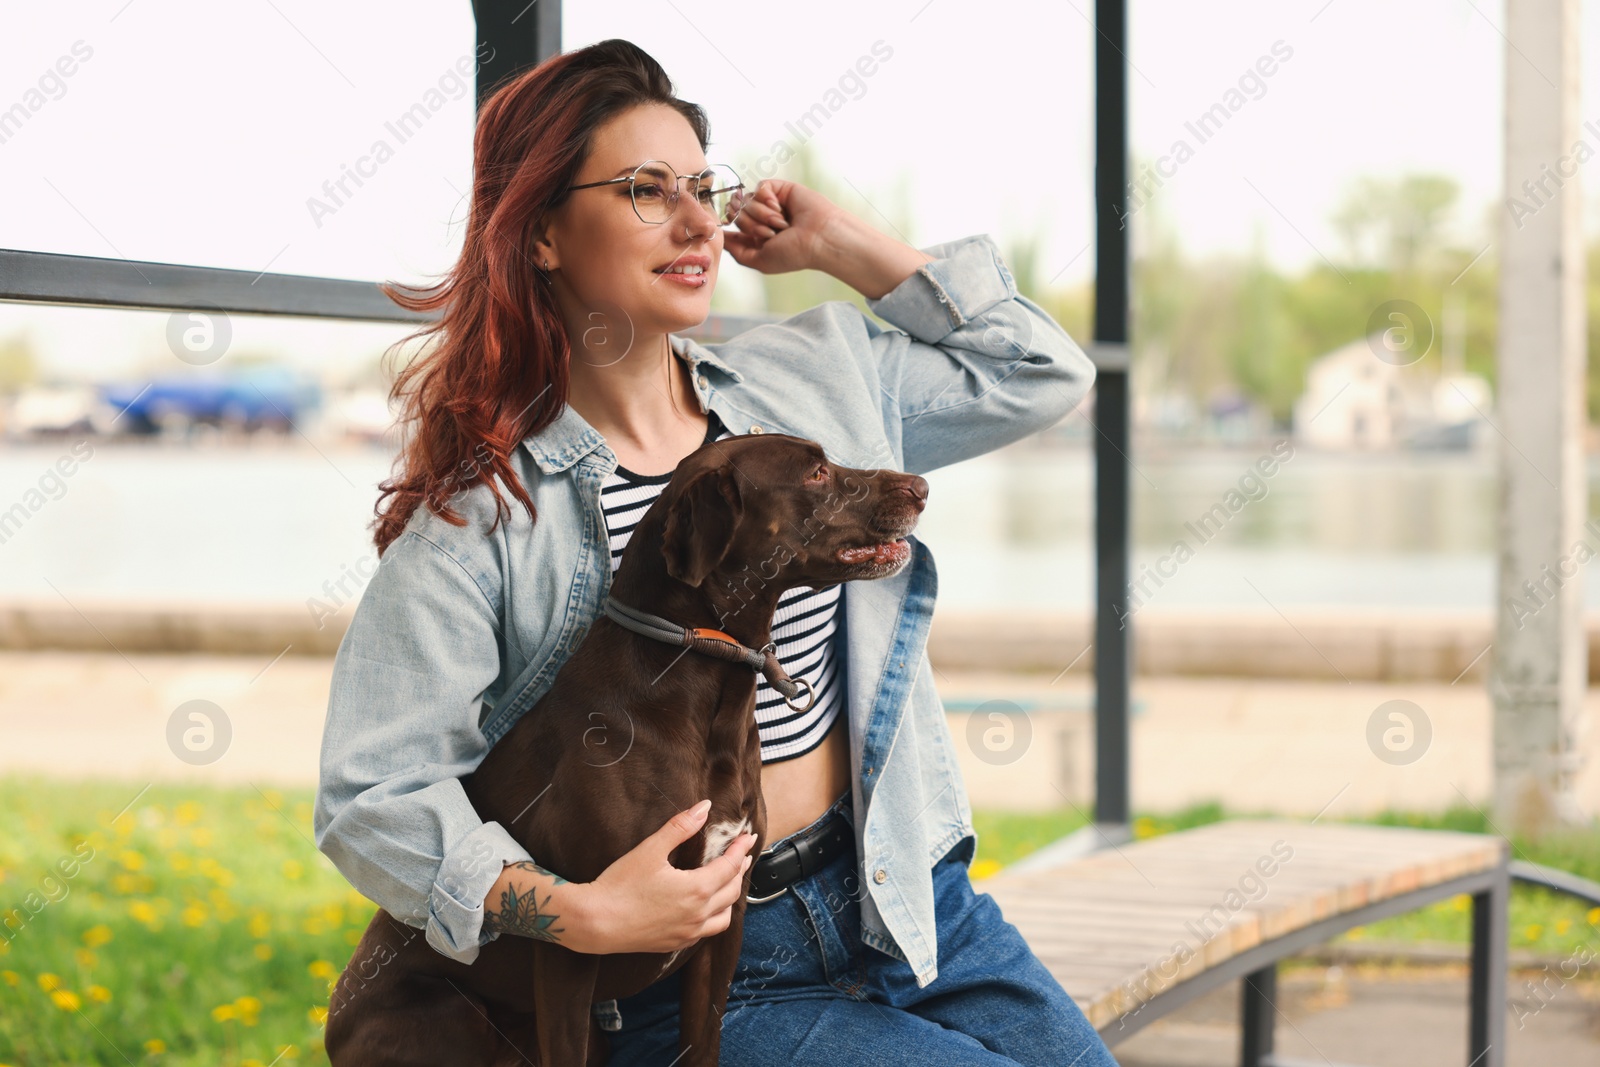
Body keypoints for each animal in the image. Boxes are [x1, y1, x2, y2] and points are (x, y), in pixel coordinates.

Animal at [321, 435, 928, 1067]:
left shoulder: (723, 924)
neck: (698, 669)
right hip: (456, 1015)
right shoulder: (572, 945)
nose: (922, 488)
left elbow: (702, 1045)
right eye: (815, 473)